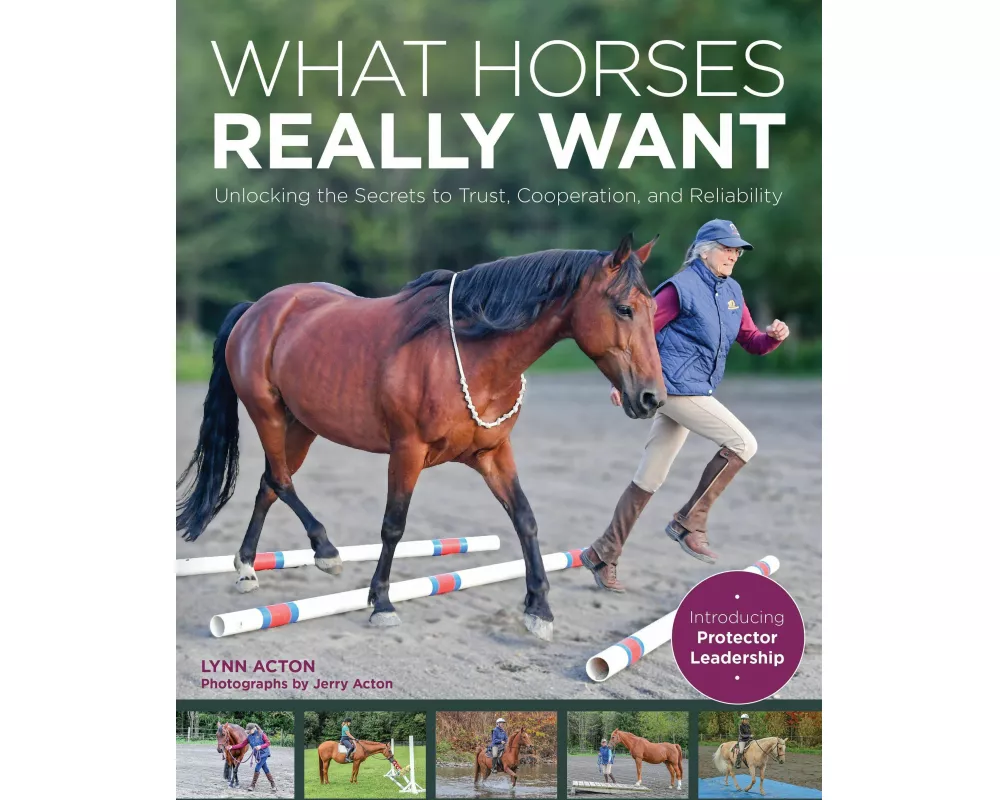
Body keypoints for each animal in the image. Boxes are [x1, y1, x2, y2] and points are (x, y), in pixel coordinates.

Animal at [176, 234, 666, 640]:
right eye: (624, 308)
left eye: (652, 309)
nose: (651, 397)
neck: (470, 350)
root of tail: (258, 309)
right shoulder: (406, 451)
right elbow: (393, 525)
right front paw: (381, 603)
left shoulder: (494, 452)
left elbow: (525, 519)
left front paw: (539, 610)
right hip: (269, 416)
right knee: (279, 480)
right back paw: (325, 551)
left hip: (302, 426)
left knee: (269, 483)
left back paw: (246, 567)